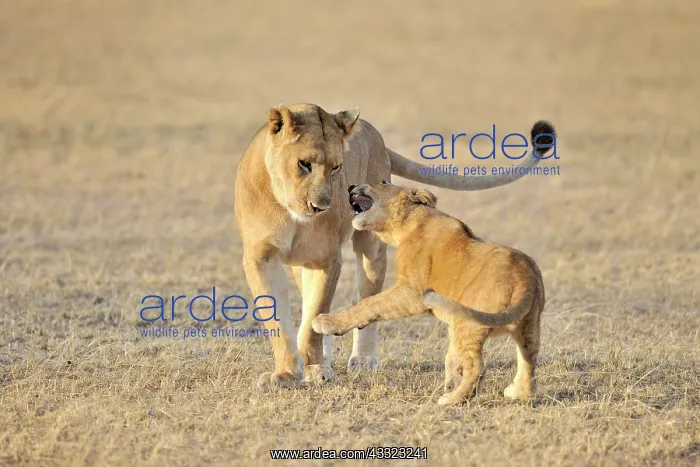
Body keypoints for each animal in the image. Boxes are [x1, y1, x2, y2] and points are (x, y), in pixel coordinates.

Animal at [311, 181, 546, 405]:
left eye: (383, 182)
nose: (351, 186)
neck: (409, 223)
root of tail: (524, 282)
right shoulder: (451, 315)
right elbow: (451, 354)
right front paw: (451, 381)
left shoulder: (411, 293)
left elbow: (370, 303)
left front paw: (326, 322)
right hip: (526, 327)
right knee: (528, 362)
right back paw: (517, 394)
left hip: (470, 323)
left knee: (478, 367)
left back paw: (452, 400)